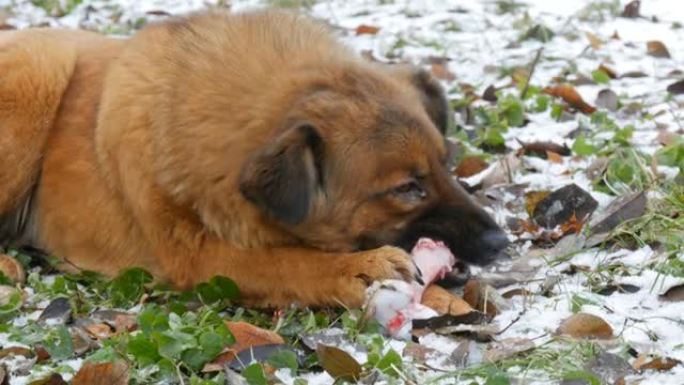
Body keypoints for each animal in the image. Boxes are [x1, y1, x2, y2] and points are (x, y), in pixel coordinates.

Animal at [1, 10, 508, 308]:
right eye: (406, 188)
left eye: (446, 165)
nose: (501, 242)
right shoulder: (198, 256)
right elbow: (288, 262)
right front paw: (357, 268)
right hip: (39, 77)